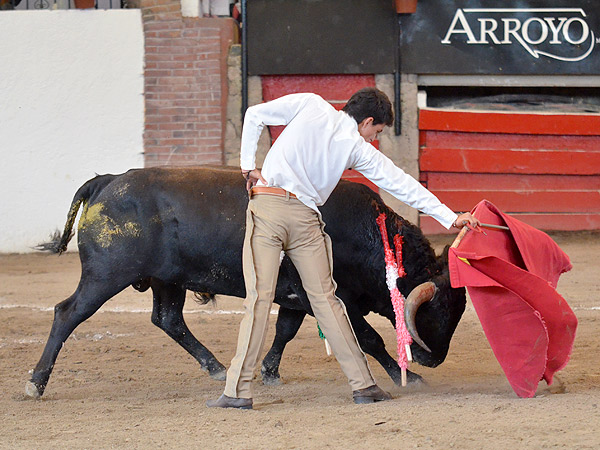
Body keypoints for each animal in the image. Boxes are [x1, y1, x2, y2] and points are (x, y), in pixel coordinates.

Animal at [25, 168, 466, 398]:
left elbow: (285, 329)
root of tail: (109, 180)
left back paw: (219, 369)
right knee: (67, 314)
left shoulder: (297, 295)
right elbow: (368, 338)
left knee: (169, 320)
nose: (435, 358)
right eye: (440, 307)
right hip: (106, 275)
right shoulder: (333, 295)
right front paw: (406, 376)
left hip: (168, 281)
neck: (367, 233)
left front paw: (269, 371)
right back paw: (36, 383)